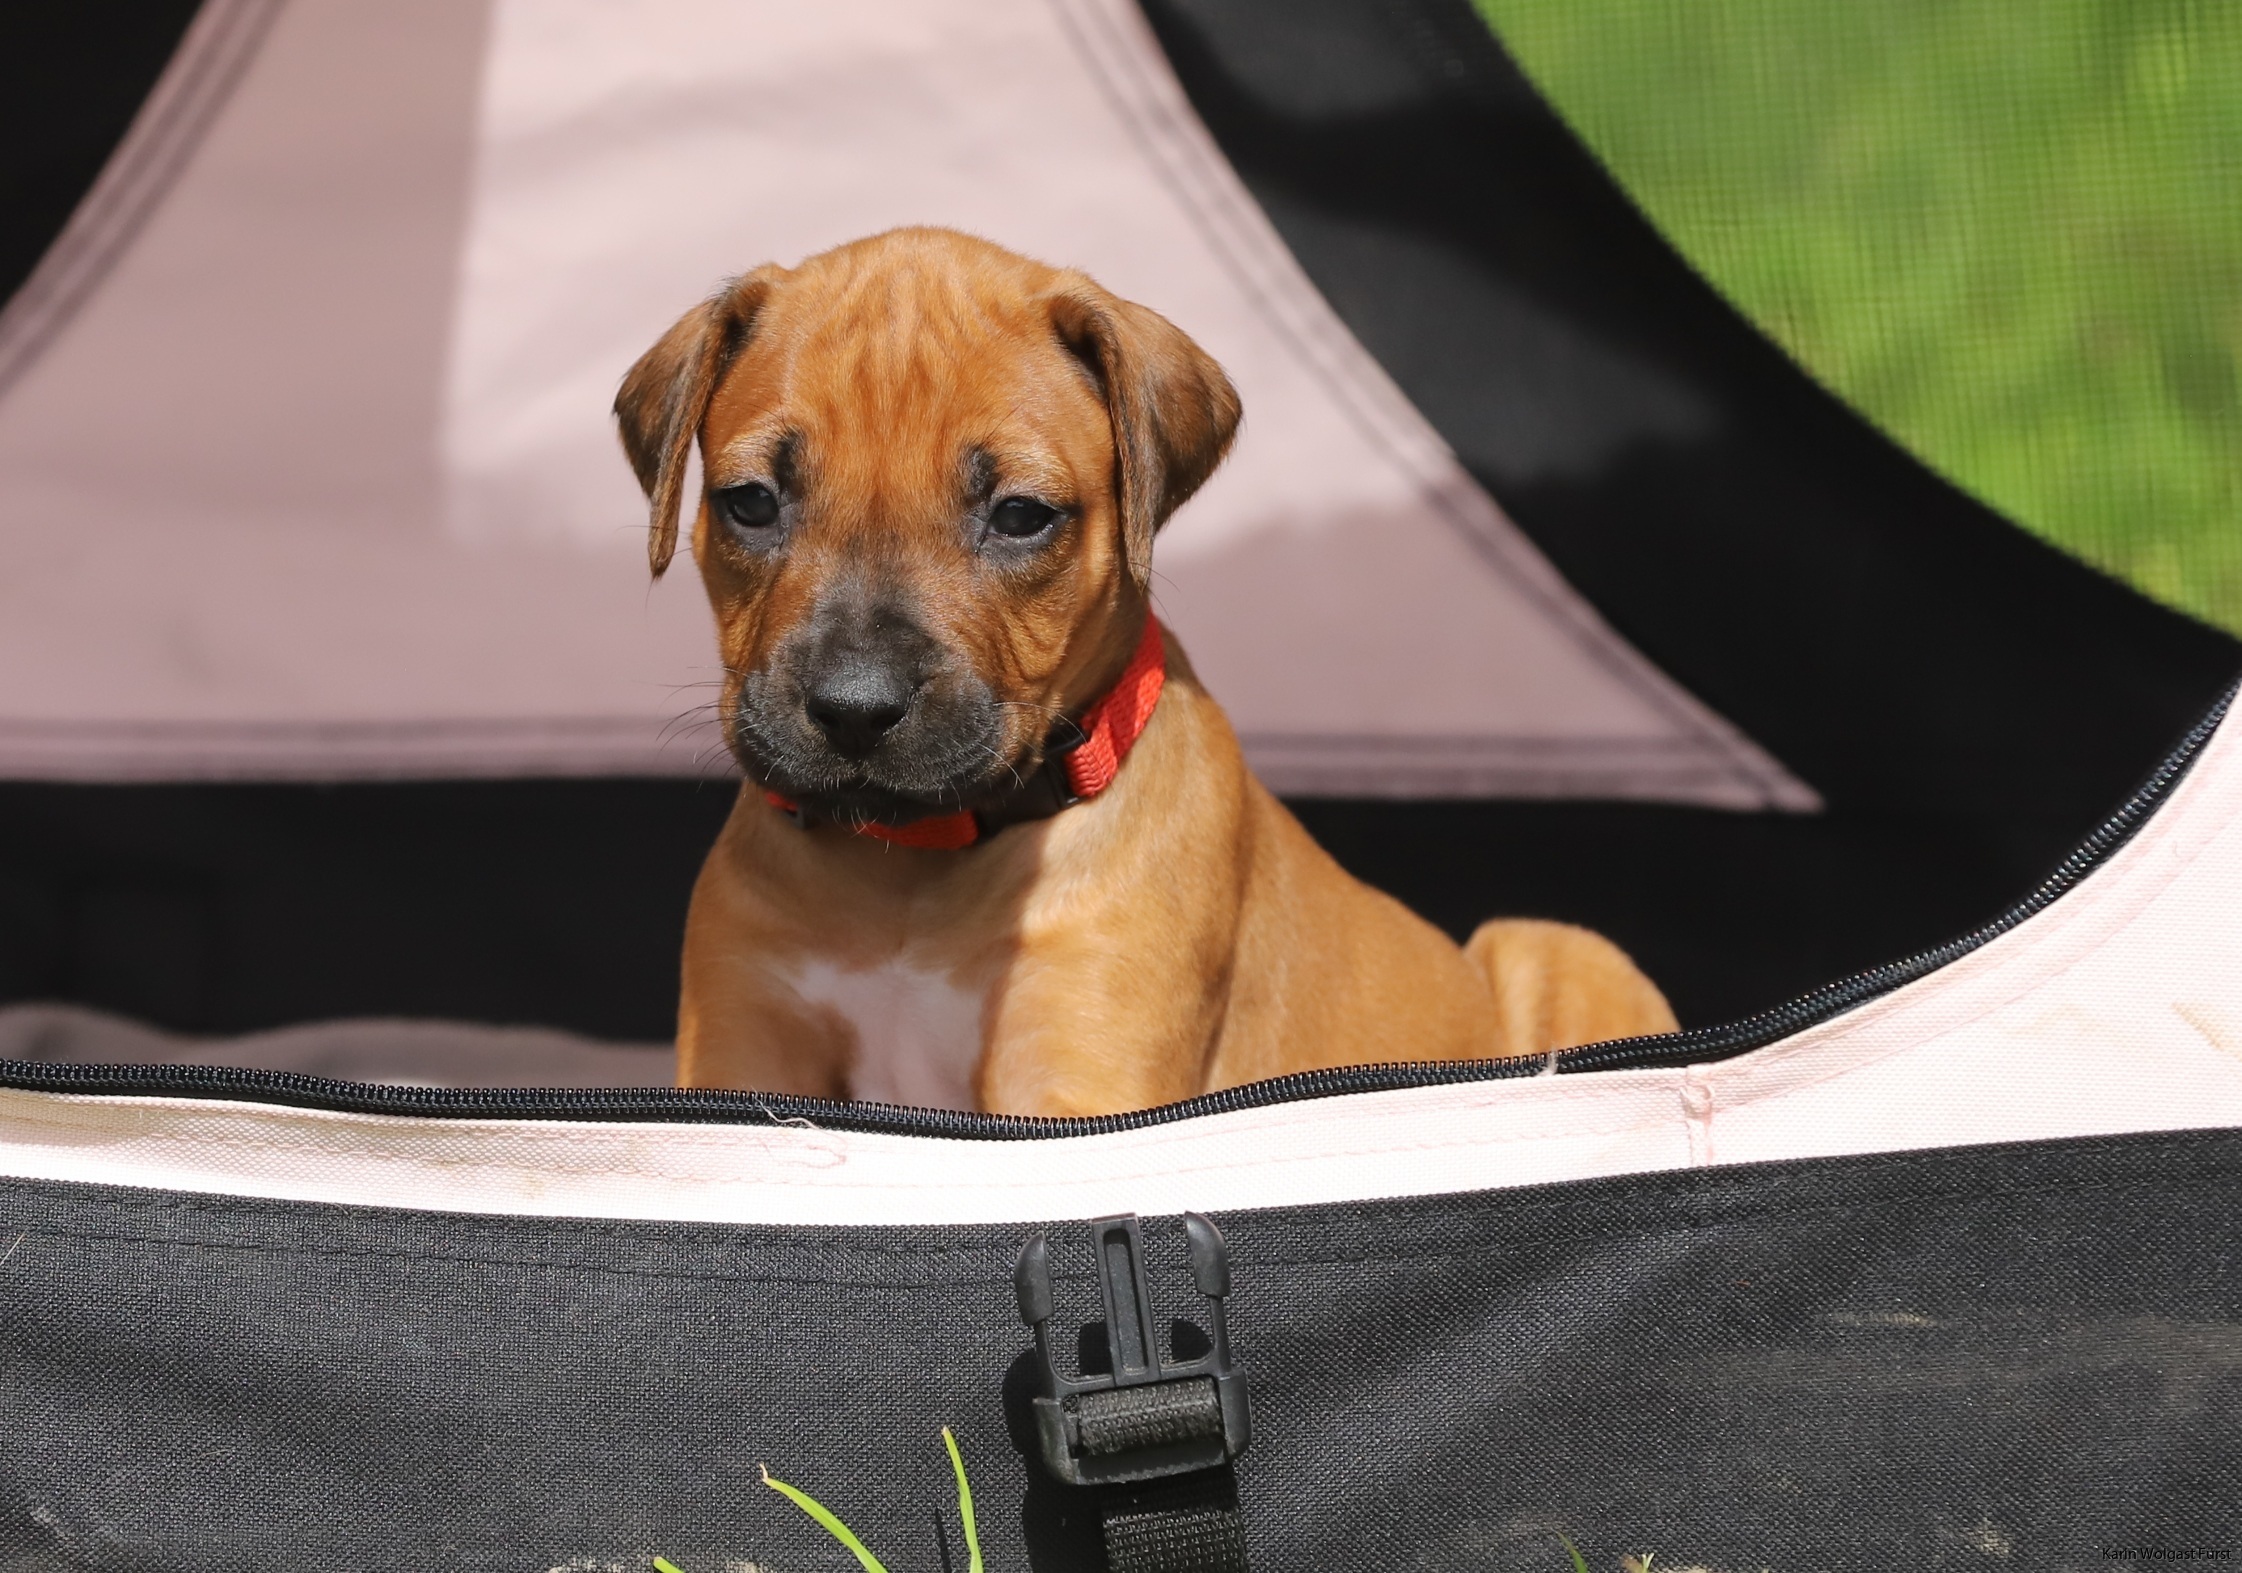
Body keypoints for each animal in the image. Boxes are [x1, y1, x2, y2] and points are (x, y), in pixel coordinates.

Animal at [615, 228, 1678, 1117]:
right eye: (751, 502)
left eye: (1020, 515)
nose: (853, 710)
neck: (913, 868)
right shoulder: (742, 1049)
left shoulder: (1079, 1076)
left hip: (1558, 949)